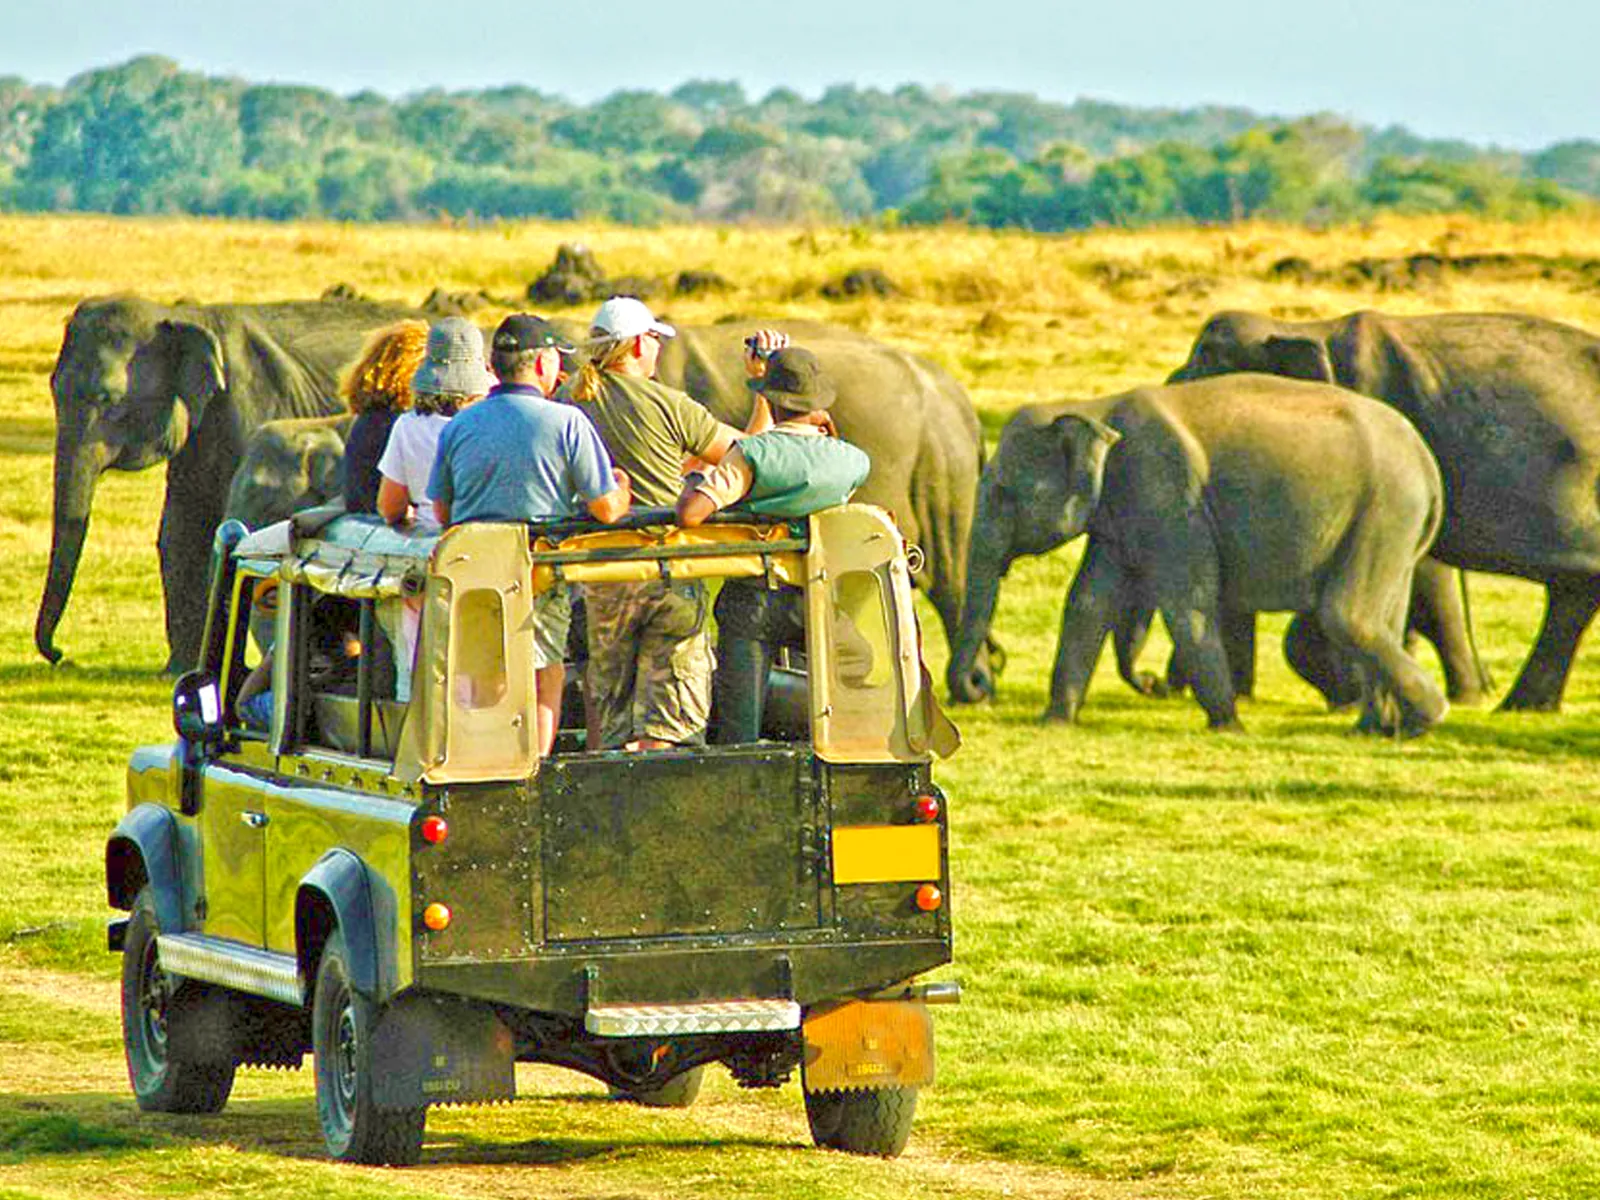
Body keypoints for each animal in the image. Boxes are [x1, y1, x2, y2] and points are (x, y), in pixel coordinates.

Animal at [38, 294, 419, 673]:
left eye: (110, 401)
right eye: (53, 388)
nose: (60, 655)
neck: (183, 317)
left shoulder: (252, 404)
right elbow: (180, 530)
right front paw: (179, 671)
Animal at [946, 374, 1449, 734]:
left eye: (1003, 494)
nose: (981, 683)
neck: (1095, 407)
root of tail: (1427, 462)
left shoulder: (1166, 493)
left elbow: (1187, 604)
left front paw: (1229, 726)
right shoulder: (1119, 511)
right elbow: (1087, 603)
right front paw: (1054, 723)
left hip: (1384, 509)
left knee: (1347, 615)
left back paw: (1431, 714)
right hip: (1394, 525)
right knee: (1387, 617)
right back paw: (1381, 729)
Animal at [1169, 308, 1600, 712]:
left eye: (1207, 361)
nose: (1163, 687)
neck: (1307, 329)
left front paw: (1352, 693)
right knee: (1573, 593)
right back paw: (1522, 705)